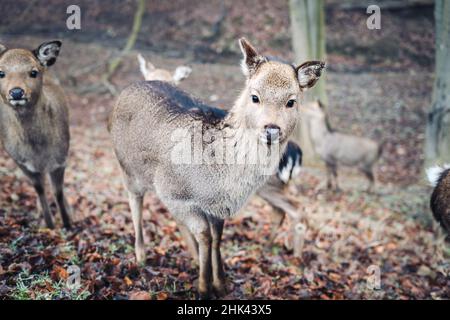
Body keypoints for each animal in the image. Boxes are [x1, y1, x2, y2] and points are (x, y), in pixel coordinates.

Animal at [0, 41, 71, 229]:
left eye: (33, 72)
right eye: (1, 72)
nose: (16, 92)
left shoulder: (60, 159)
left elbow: (58, 191)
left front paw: (68, 223)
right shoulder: (21, 162)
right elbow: (39, 189)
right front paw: (49, 225)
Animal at [110, 38, 326, 300]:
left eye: (291, 101)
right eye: (255, 96)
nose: (271, 129)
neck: (220, 180)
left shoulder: (217, 208)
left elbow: (216, 237)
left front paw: (221, 284)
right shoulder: (173, 193)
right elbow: (204, 234)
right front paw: (204, 288)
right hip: (127, 168)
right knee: (135, 203)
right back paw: (141, 256)